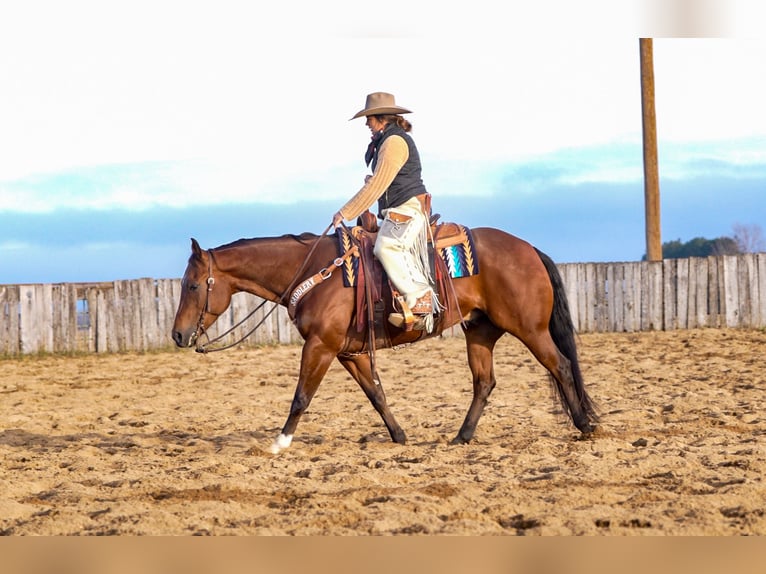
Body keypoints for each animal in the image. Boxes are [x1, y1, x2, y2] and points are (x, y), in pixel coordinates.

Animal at [172, 227, 600, 456]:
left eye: (192, 285)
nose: (178, 334)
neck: (315, 272)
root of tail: (529, 249)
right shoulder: (347, 352)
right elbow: (376, 393)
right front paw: (399, 436)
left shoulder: (320, 347)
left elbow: (301, 397)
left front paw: (279, 443)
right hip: (480, 331)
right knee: (484, 382)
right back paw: (461, 437)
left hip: (530, 329)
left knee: (561, 366)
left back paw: (584, 425)